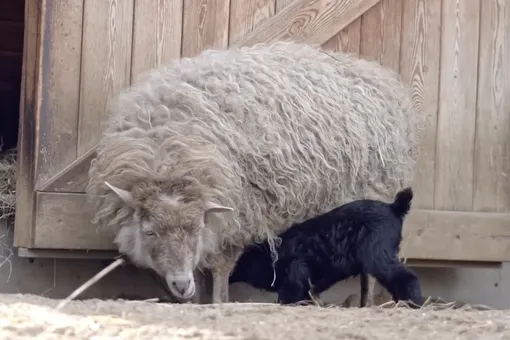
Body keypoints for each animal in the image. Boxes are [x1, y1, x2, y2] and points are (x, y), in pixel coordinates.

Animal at [230, 187, 422, 306]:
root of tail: (394, 207)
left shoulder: (296, 275)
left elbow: (289, 296)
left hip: (377, 254)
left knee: (406, 277)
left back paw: (413, 304)